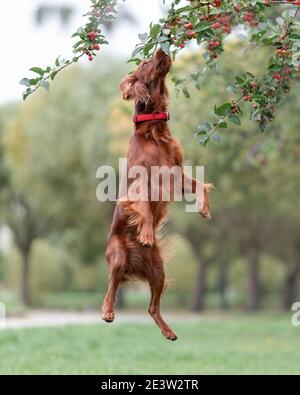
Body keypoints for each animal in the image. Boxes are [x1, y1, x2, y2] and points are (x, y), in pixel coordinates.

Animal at [102, 49, 212, 340]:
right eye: (145, 62)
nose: (162, 49)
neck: (153, 130)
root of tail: (134, 266)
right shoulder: (141, 182)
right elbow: (143, 208)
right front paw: (148, 235)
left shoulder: (177, 174)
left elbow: (199, 183)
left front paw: (204, 208)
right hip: (118, 257)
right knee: (110, 288)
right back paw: (107, 312)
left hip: (159, 271)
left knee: (152, 308)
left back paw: (169, 332)